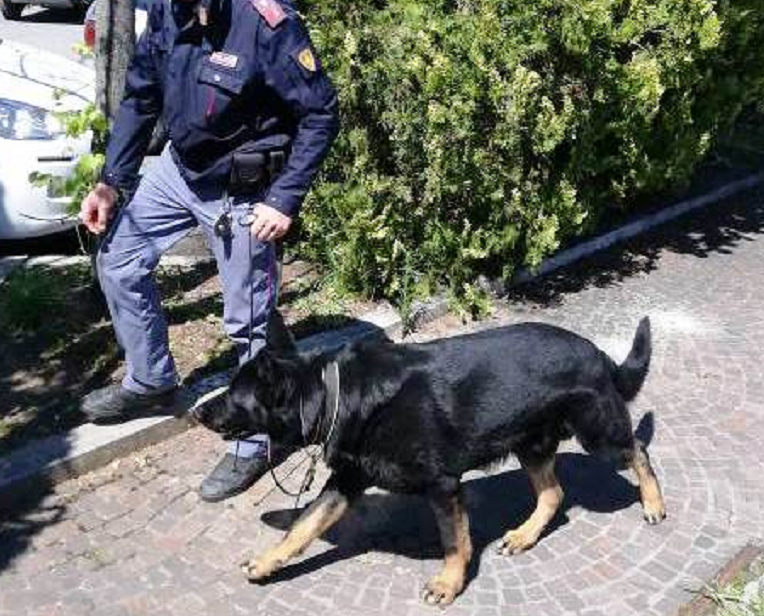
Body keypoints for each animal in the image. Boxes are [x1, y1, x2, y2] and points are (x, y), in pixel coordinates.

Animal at [194, 313, 665, 606]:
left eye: (233, 396)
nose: (197, 412)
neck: (334, 392)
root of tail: (598, 354)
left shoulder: (443, 486)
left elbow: (454, 542)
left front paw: (449, 584)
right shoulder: (344, 484)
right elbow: (302, 528)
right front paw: (267, 561)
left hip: (598, 435)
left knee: (639, 452)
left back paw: (654, 504)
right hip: (529, 445)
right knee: (554, 495)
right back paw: (524, 535)